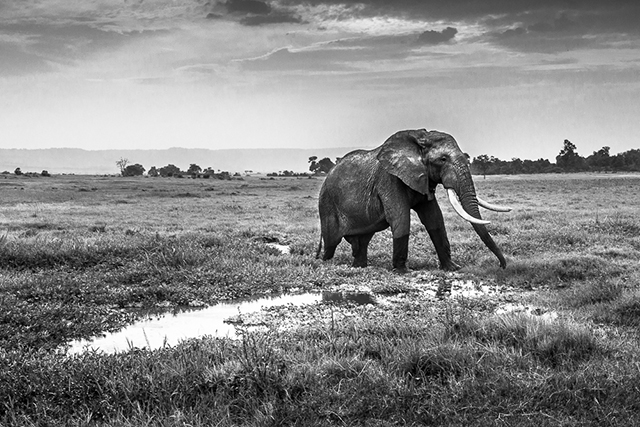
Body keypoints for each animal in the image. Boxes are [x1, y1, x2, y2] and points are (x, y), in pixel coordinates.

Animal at [318, 129, 512, 272]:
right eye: (443, 159)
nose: (501, 266)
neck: (419, 140)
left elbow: (435, 219)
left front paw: (453, 268)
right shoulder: (389, 179)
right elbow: (401, 218)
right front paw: (402, 271)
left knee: (362, 240)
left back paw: (359, 267)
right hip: (327, 203)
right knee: (331, 243)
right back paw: (325, 263)